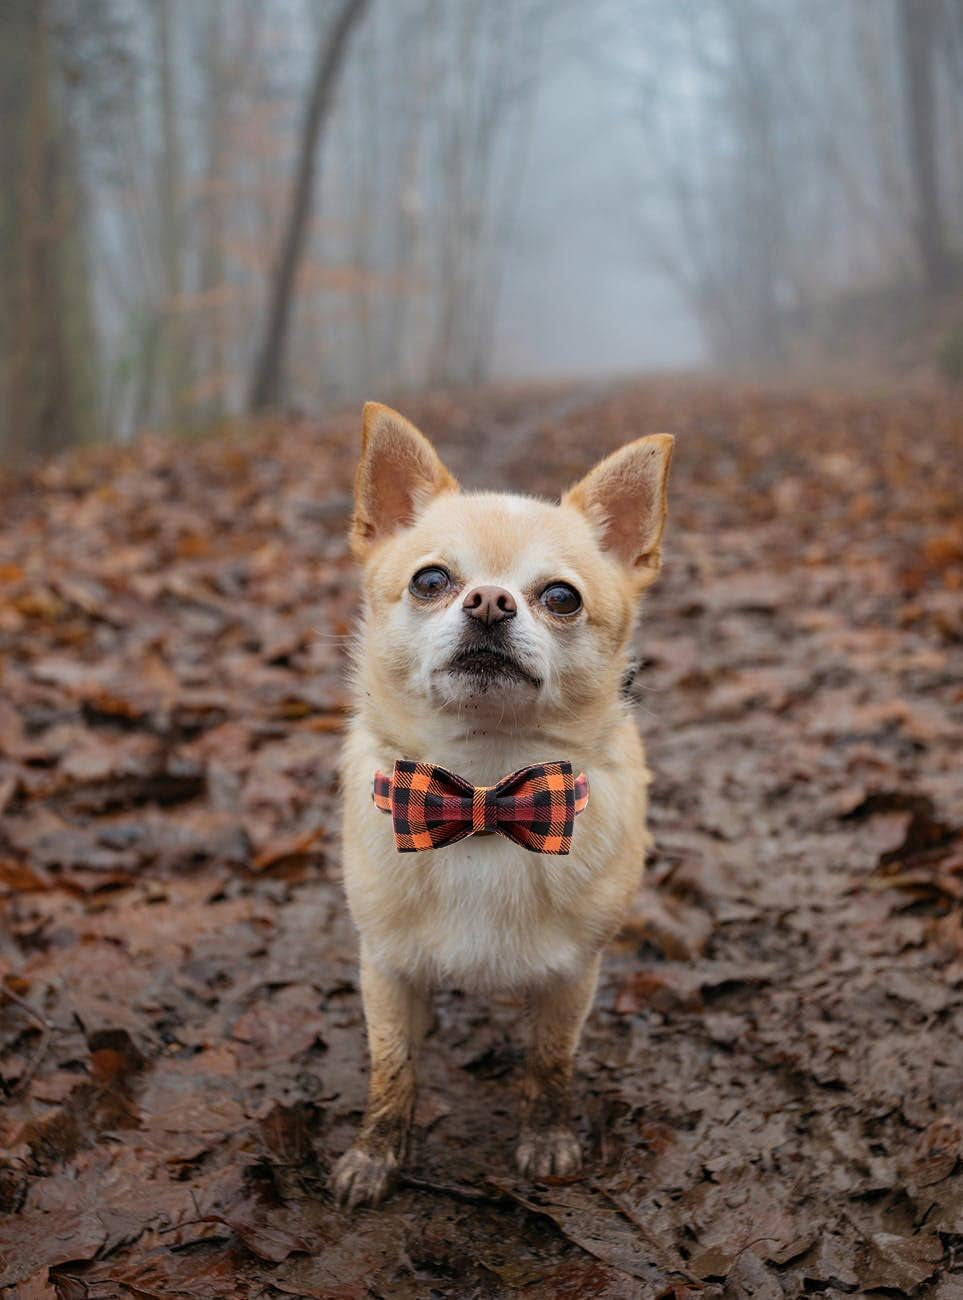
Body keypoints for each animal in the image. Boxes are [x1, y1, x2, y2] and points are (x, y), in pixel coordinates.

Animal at [335, 403, 670, 1206]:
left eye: (561, 597)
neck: (483, 794)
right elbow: (391, 1067)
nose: (489, 600)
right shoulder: (384, 970)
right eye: (430, 580)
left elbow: (549, 1064)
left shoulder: (572, 977)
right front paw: (374, 1152)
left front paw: (547, 1138)